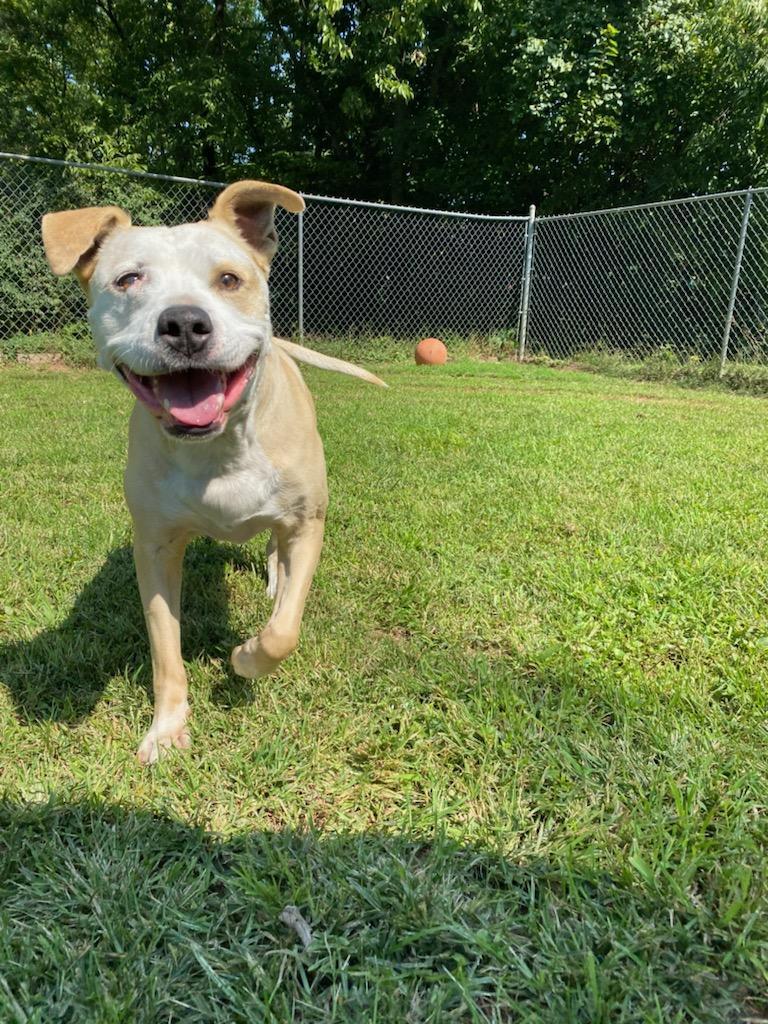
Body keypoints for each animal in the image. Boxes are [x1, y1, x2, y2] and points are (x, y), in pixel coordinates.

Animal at [41, 180, 385, 765]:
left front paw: (246, 658)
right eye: (128, 279)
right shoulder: (155, 547)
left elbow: (284, 631)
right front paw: (167, 727)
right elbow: (165, 651)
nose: (183, 323)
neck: (218, 448)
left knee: (276, 555)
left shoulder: (308, 524)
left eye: (229, 279)